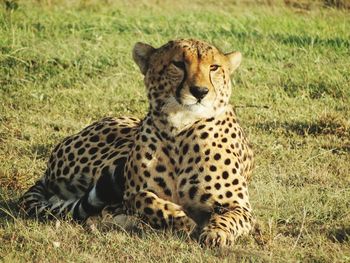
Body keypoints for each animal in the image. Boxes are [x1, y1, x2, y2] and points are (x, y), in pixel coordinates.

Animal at [19, 38, 254, 249]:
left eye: (214, 67)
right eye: (178, 64)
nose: (200, 91)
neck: (180, 128)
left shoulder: (240, 207)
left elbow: (228, 218)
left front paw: (215, 233)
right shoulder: (131, 191)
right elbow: (142, 198)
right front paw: (181, 219)